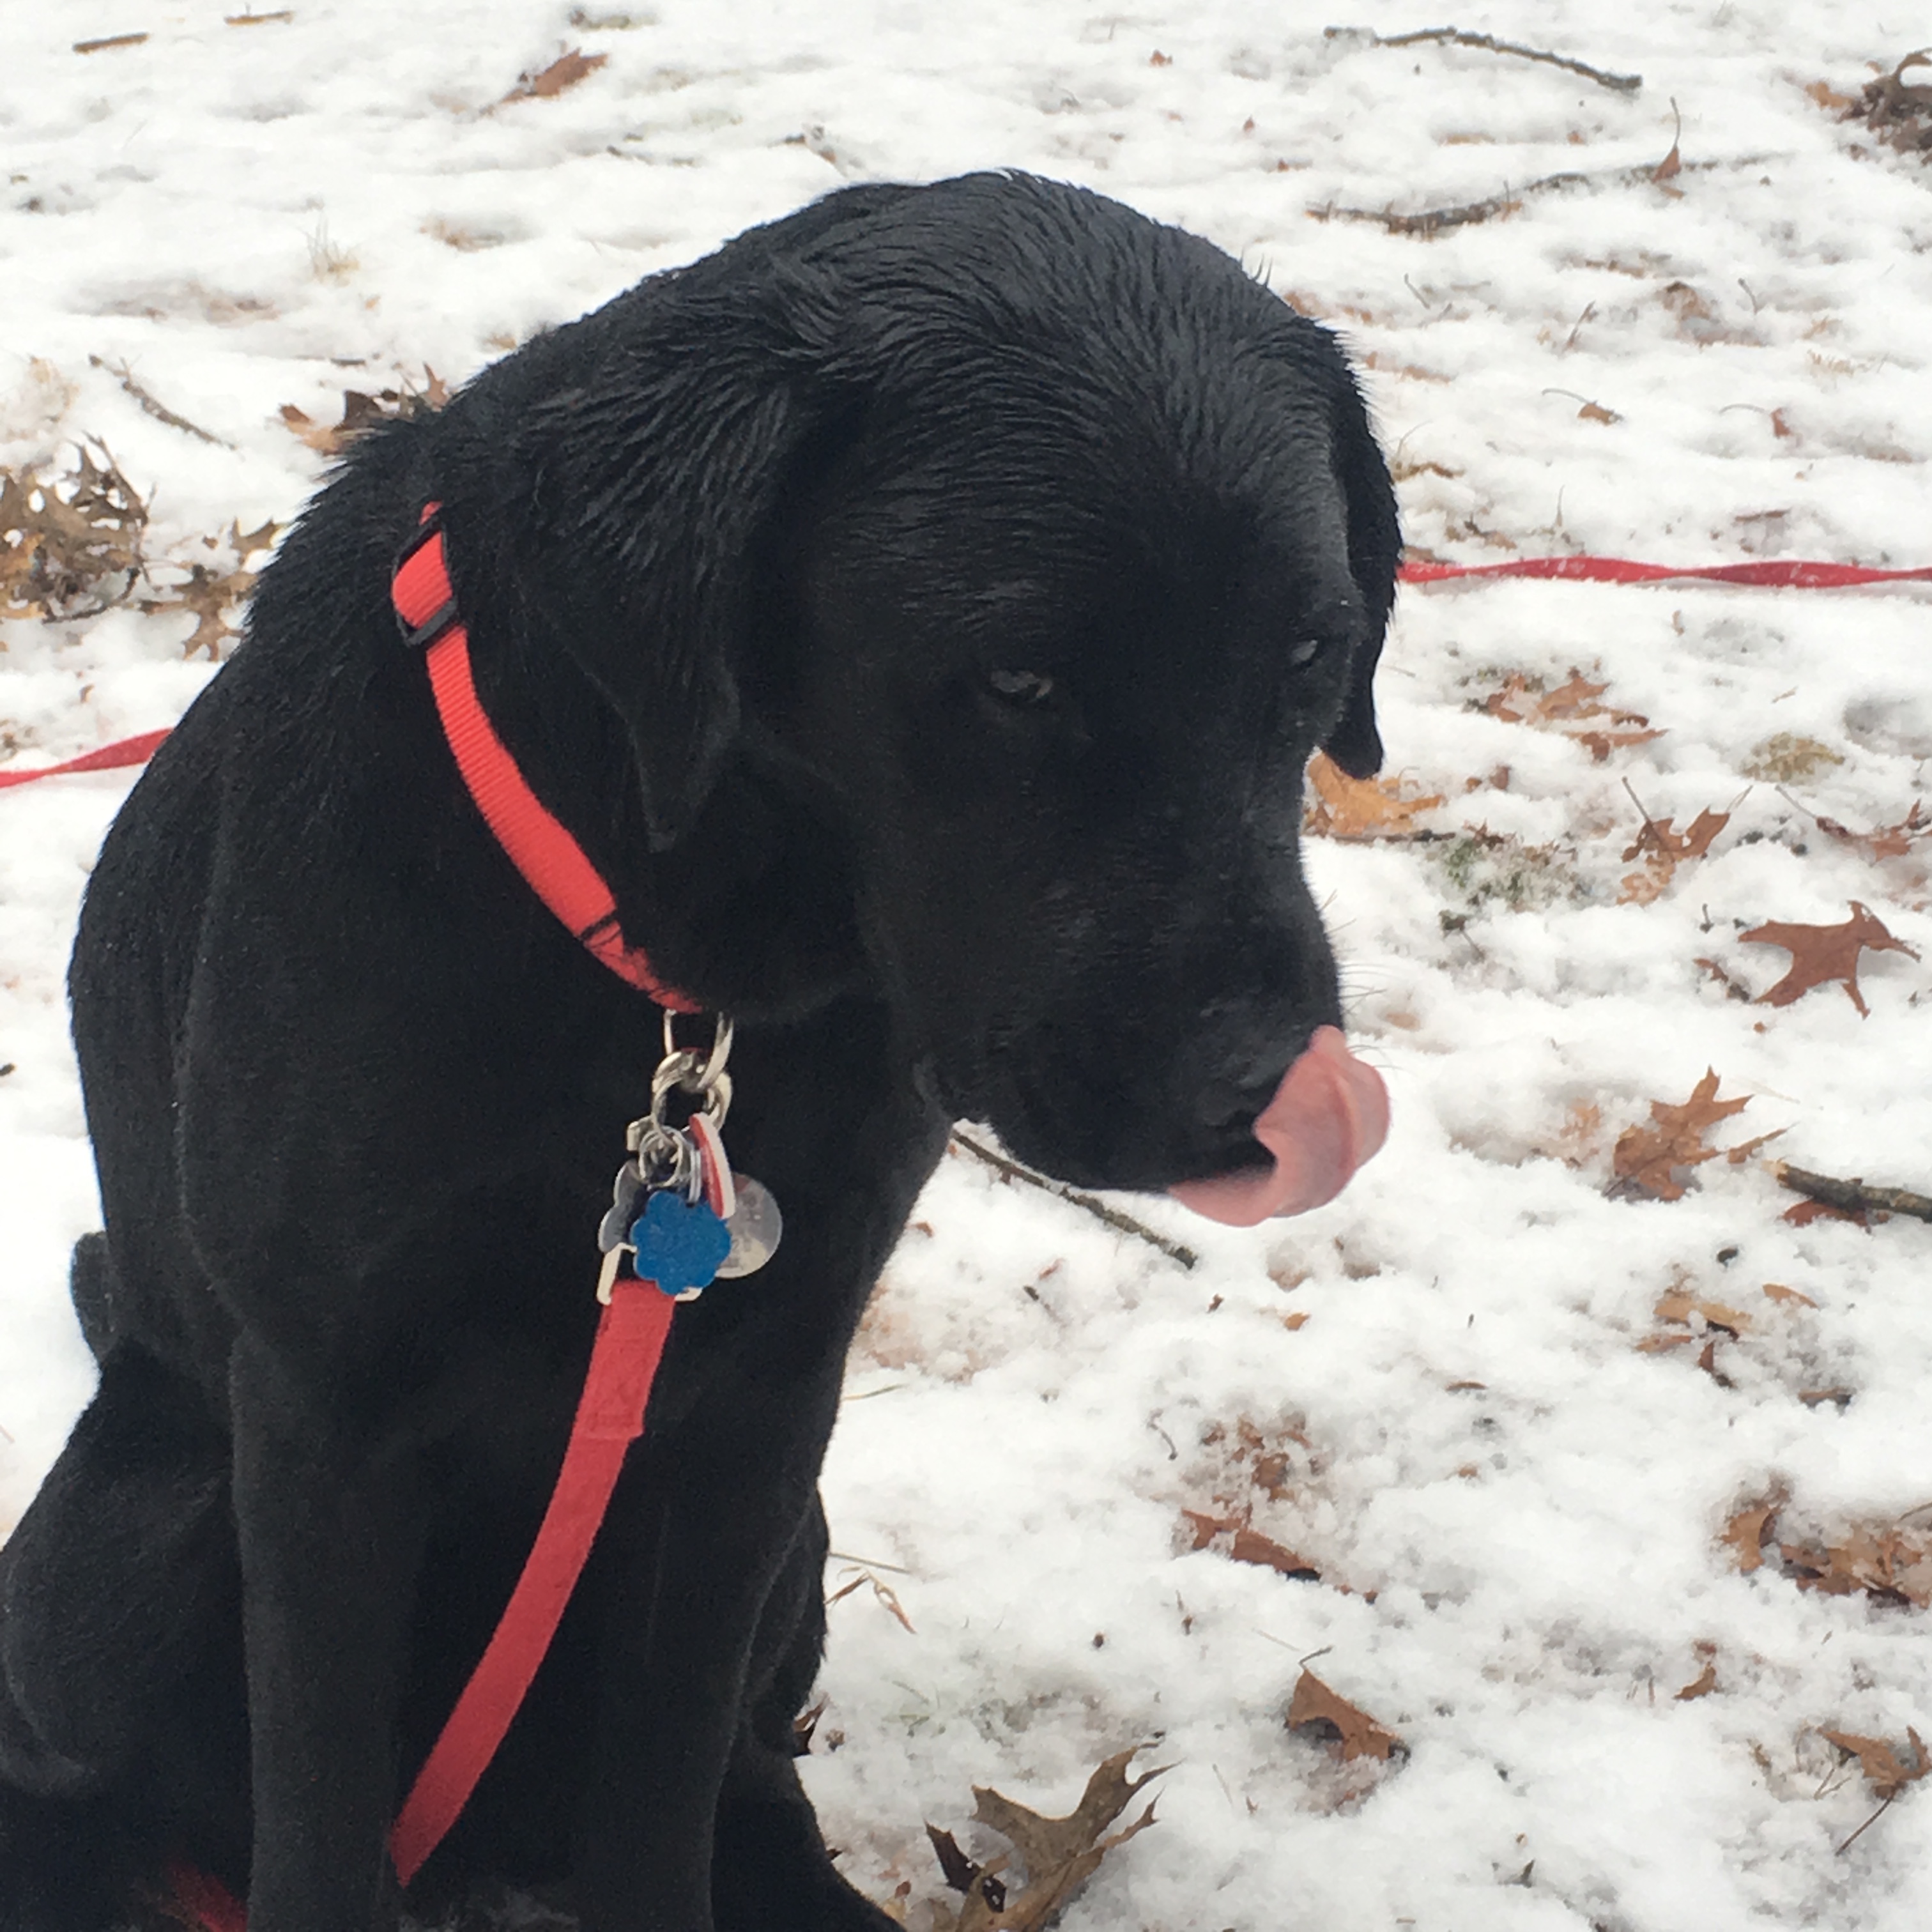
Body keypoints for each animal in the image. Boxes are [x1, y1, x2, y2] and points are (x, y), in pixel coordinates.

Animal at [0, 178, 1399, 1932]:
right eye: (1018, 679)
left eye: (1311, 658)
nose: (1280, 1100)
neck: (684, 974)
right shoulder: (323, 1416)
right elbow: (314, 1825)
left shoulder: (760, 1402)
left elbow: (664, 1795)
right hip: (137, 1534)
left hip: (793, 1542)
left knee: (744, 1783)